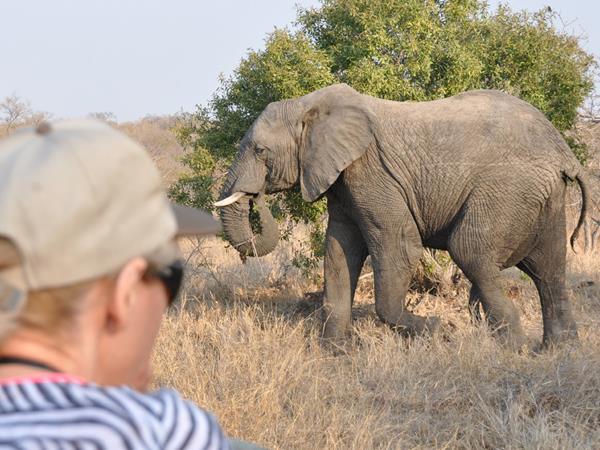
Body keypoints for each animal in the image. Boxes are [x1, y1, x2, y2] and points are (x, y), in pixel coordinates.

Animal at [213, 84, 588, 348]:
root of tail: (562, 151)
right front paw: (337, 352)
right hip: (543, 197)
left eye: (260, 150)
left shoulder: (371, 172)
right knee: (548, 268)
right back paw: (556, 350)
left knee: (470, 249)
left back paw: (514, 347)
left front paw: (439, 330)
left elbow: (400, 248)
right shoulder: (344, 181)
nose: (256, 196)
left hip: (509, 188)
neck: (308, 105)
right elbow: (339, 252)